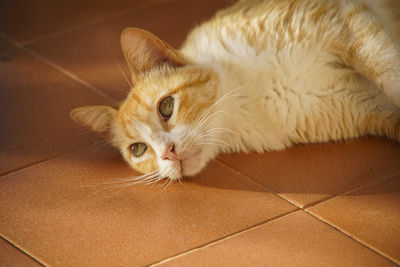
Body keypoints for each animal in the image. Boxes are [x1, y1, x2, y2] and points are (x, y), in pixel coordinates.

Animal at [70, 0, 400, 182]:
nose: (167, 153)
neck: (253, 98)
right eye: (138, 149)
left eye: (166, 106)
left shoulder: (346, 22)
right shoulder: (370, 106)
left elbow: (390, 73)